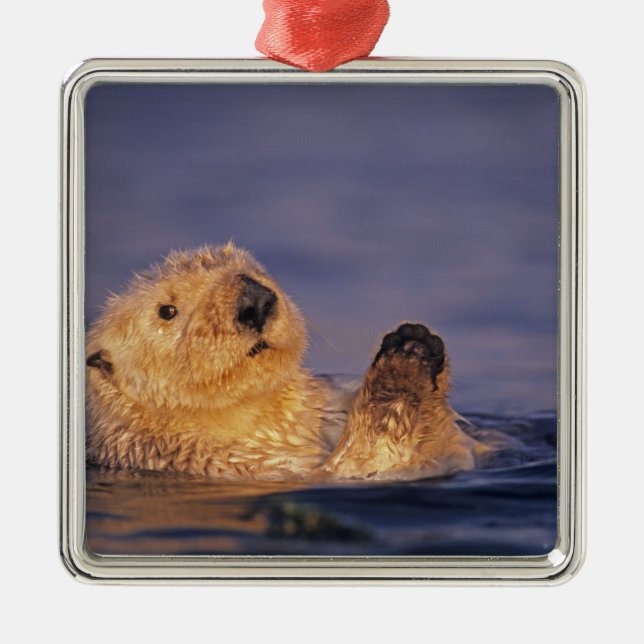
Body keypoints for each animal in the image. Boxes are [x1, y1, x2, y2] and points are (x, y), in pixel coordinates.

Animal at [86, 242, 487, 481]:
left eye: (253, 269)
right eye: (166, 310)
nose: (255, 301)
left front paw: (415, 338)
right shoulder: (238, 464)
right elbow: (372, 461)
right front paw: (403, 364)